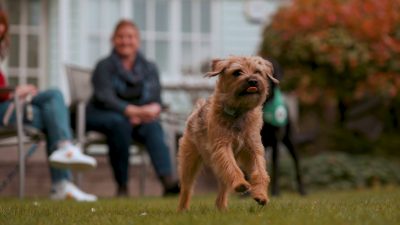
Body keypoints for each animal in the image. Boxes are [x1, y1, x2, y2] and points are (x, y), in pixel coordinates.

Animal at [178, 55, 278, 211]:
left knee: (223, 188)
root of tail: (197, 110)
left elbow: (260, 172)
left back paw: (222, 208)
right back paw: (182, 209)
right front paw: (241, 184)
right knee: (187, 187)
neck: (239, 112)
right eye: (237, 72)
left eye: (257, 71)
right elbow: (232, 167)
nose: (253, 81)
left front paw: (261, 195)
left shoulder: (254, 149)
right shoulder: (222, 147)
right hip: (189, 161)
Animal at [260, 58, 304, 197]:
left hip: (290, 140)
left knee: (296, 162)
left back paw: (303, 191)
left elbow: (276, 167)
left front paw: (276, 192)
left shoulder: (275, 141)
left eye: (269, 71)